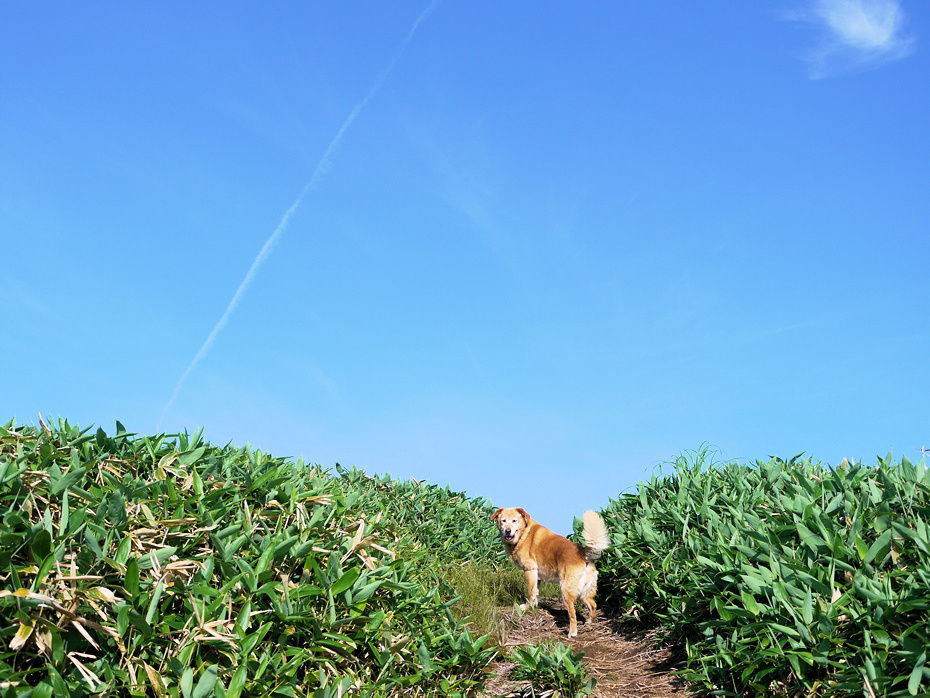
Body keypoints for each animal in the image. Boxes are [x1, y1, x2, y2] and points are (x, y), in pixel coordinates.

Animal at [486, 506, 608, 636]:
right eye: (503, 521)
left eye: (514, 521)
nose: (508, 531)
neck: (523, 534)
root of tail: (582, 553)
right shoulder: (537, 576)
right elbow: (535, 593)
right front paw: (533, 607)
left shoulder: (530, 569)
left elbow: (530, 592)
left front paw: (528, 607)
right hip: (584, 593)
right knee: (593, 605)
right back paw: (590, 622)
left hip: (566, 591)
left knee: (573, 614)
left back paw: (572, 632)